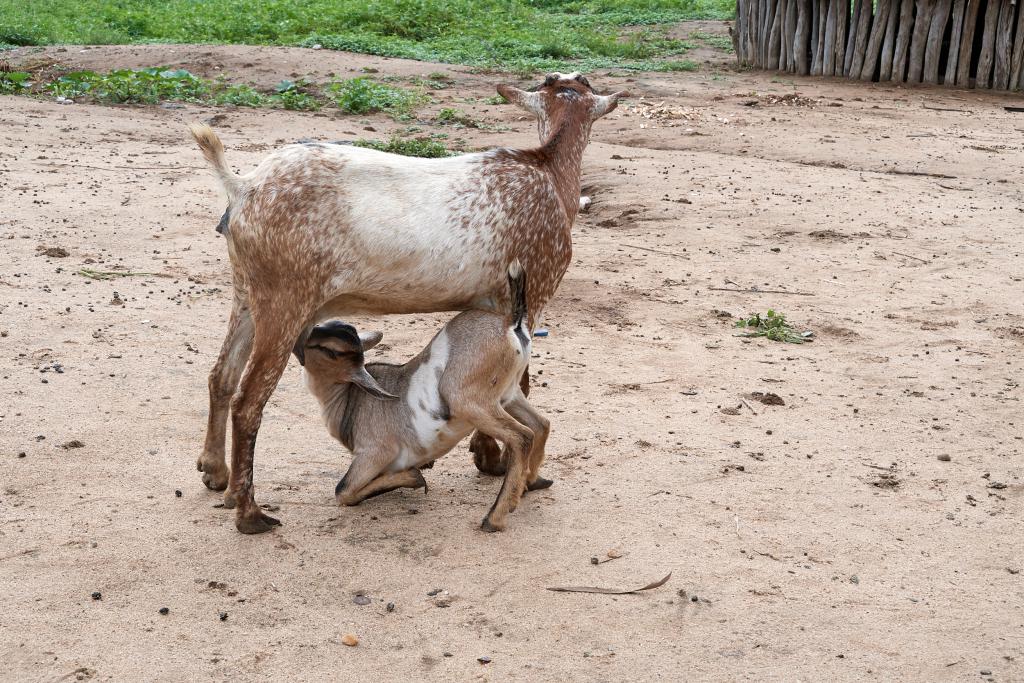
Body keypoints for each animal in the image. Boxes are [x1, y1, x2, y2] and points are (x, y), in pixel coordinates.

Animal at [299, 262, 548, 532]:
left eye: (329, 350)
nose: (298, 341)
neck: (350, 398)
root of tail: (511, 323)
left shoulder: (375, 452)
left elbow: (342, 491)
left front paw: (413, 477)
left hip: (467, 400)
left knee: (522, 436)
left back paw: (494, 518)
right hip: (508, 396)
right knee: (541, 424)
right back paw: (530, 484)